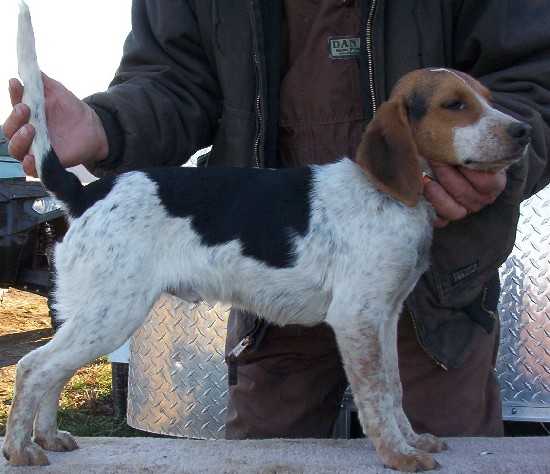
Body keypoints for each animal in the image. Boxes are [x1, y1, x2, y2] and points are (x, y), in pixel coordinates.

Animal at [2, 4, 532, 474]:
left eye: (486, 95)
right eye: (454, 105)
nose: (524, 130)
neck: (387, 193)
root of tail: (86, 190)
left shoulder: (384, 317)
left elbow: (396, 389)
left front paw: (412, 439)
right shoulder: (358, 319)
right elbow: (378, 395)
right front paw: (397, 455)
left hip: (91, 312)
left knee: (51, 371)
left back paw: (48, 437)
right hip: (111, 311)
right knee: (33, 367)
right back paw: (22, 449)